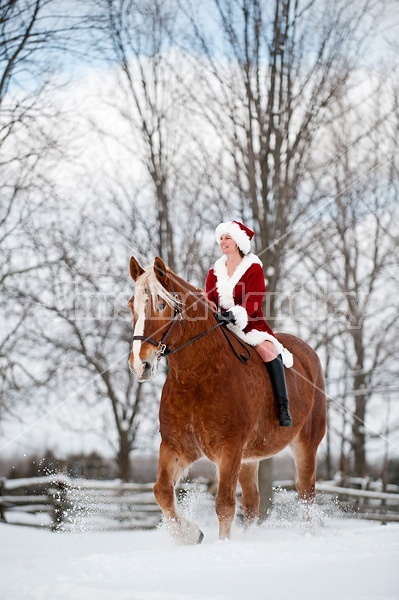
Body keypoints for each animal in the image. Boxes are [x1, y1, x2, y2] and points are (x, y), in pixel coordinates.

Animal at [129, 255, 328, 548]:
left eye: (161, 304)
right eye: (131, 305)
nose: (139, 365)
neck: (197, 376)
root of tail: (307, 353)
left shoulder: (229, 449)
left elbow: (224, 505)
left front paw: (220, 545)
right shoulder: (176, 446)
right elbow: (162, 491)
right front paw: (191, 535)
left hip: (305, 444)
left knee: (305, 494)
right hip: (249, 458)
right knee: (253, 502)